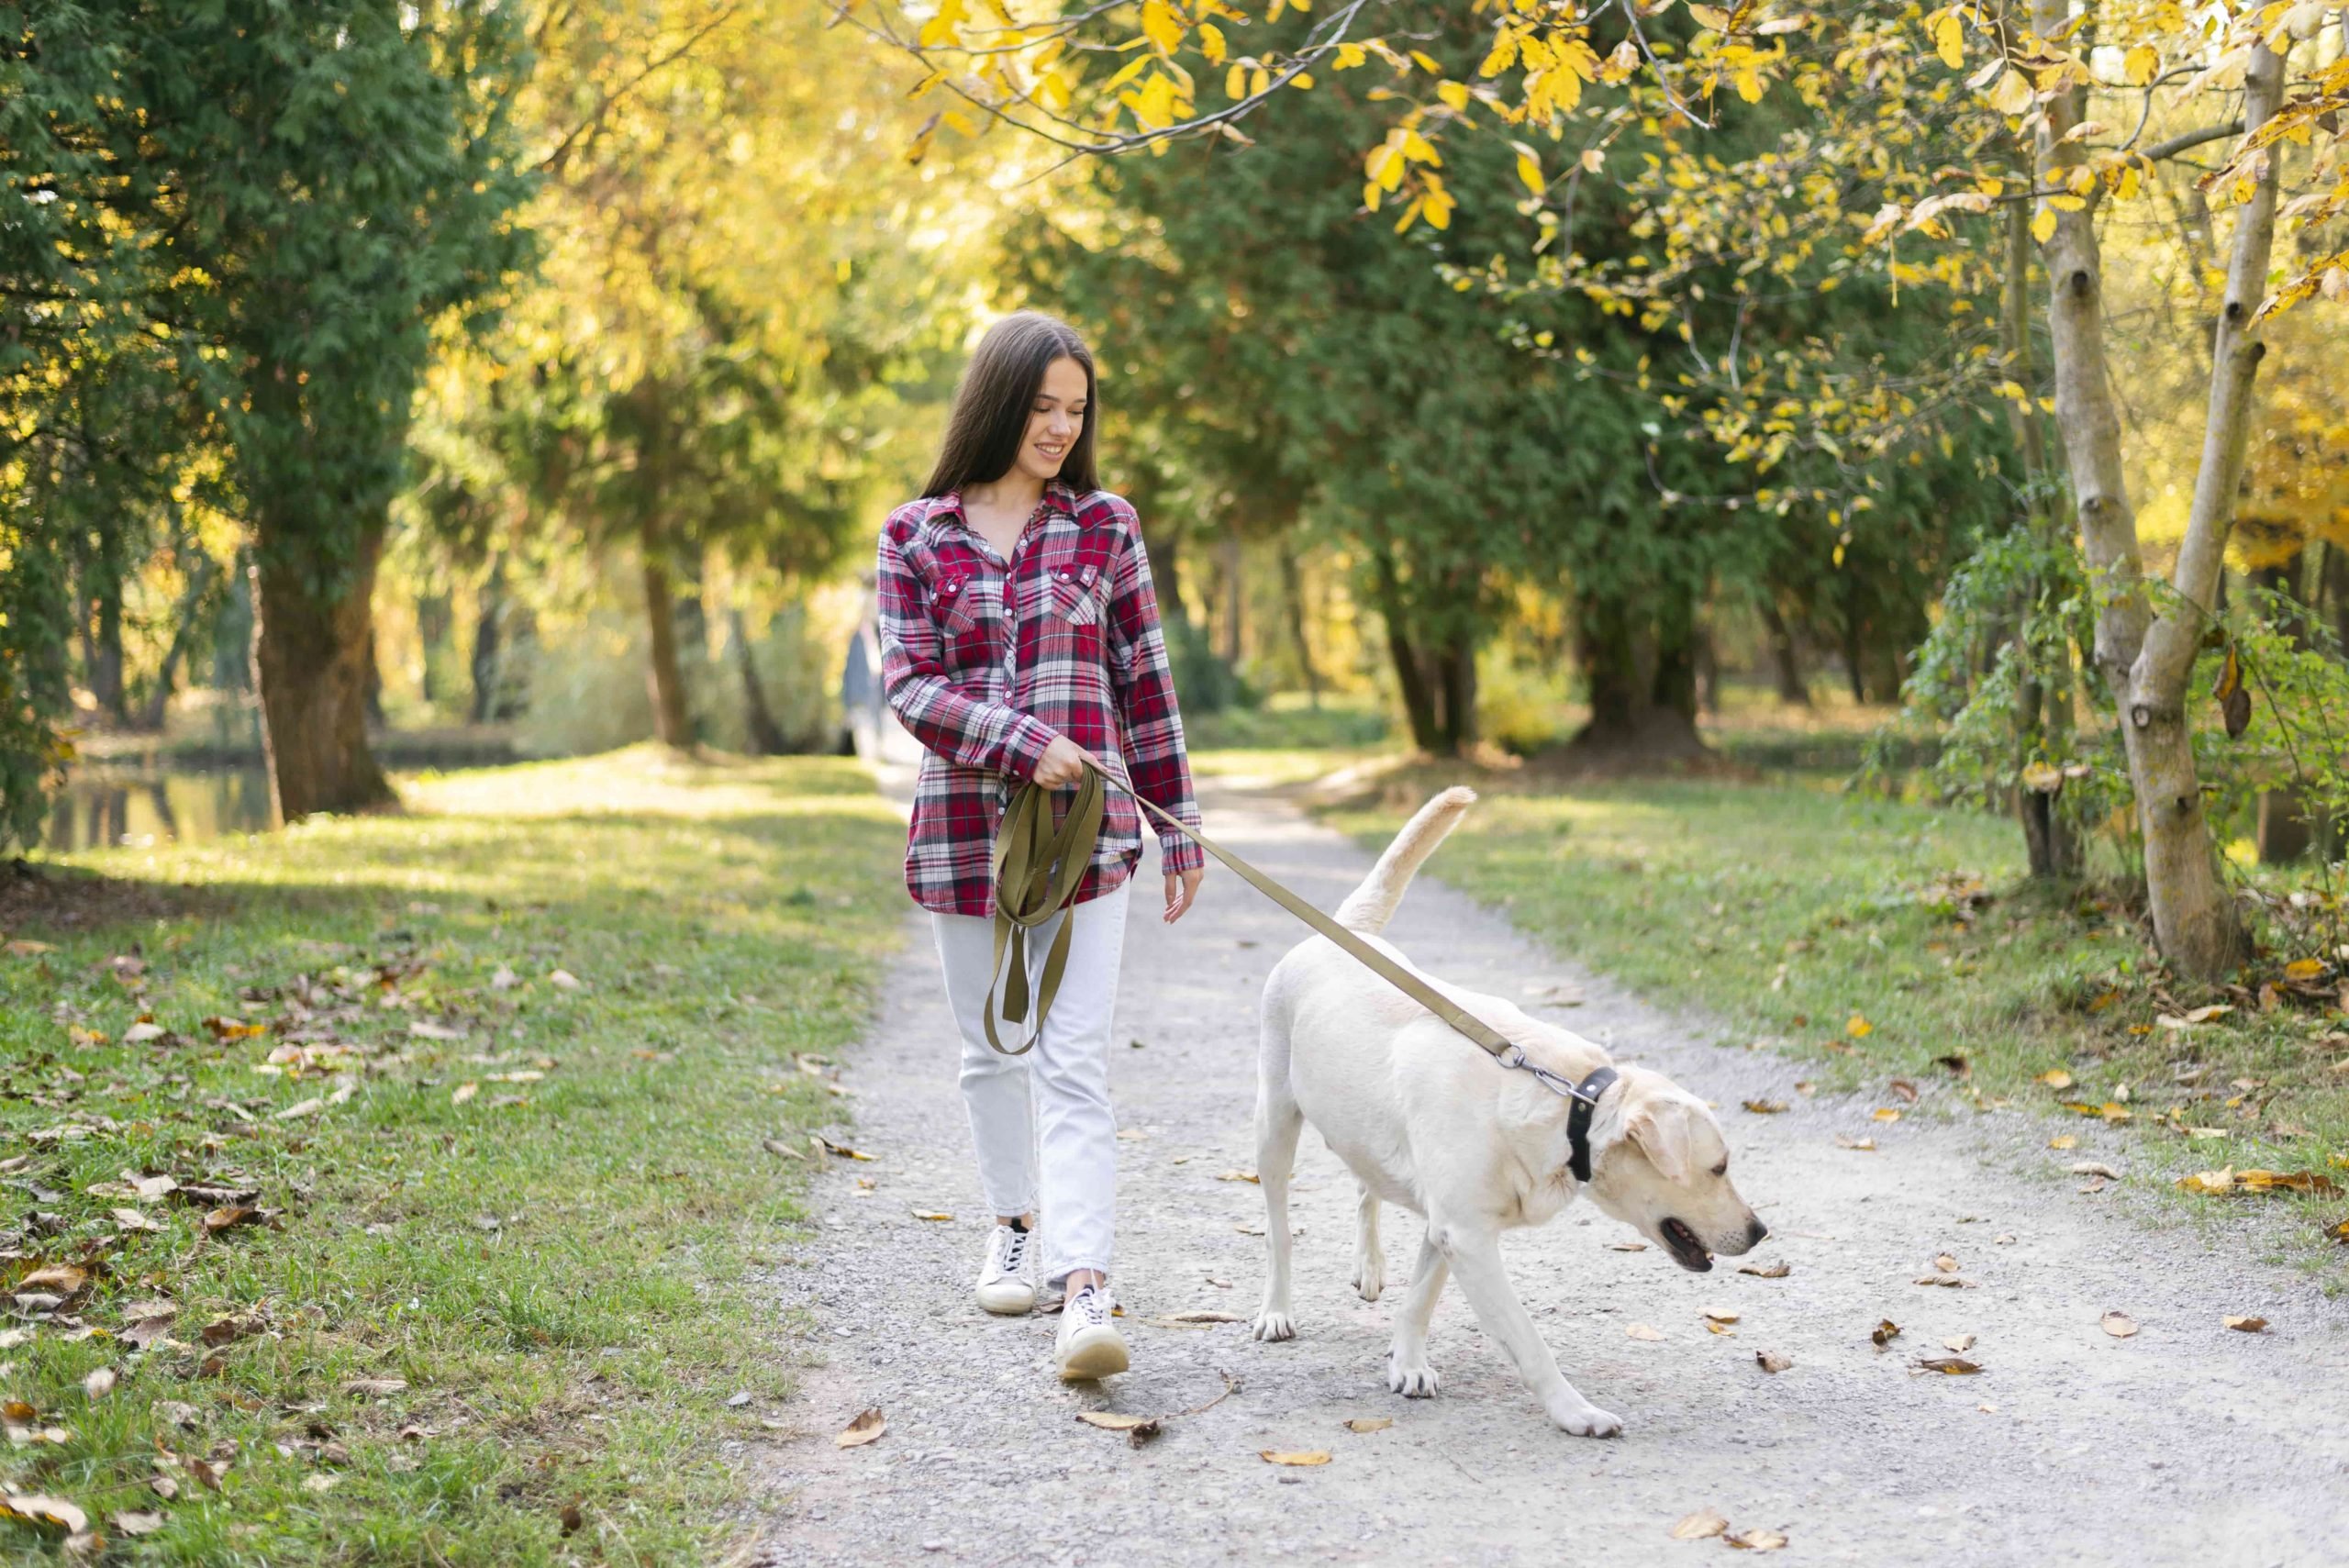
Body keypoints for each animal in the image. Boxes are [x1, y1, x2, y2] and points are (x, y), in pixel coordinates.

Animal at [1249, 788, 1766, 1436]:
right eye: (1719, 1168)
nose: (1761, 1232)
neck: (1569, 1106)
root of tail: (1341, 931)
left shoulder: (1449, 1225)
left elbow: (1420, 1299)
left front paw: (1407, 1362)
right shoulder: (1467, 1234)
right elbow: (1527, 1339)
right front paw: (1575, 1411)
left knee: (1367, 1184)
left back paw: (1369, 1265)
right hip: (1274, 1125)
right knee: (1278, 1232)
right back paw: (1275, 1309)